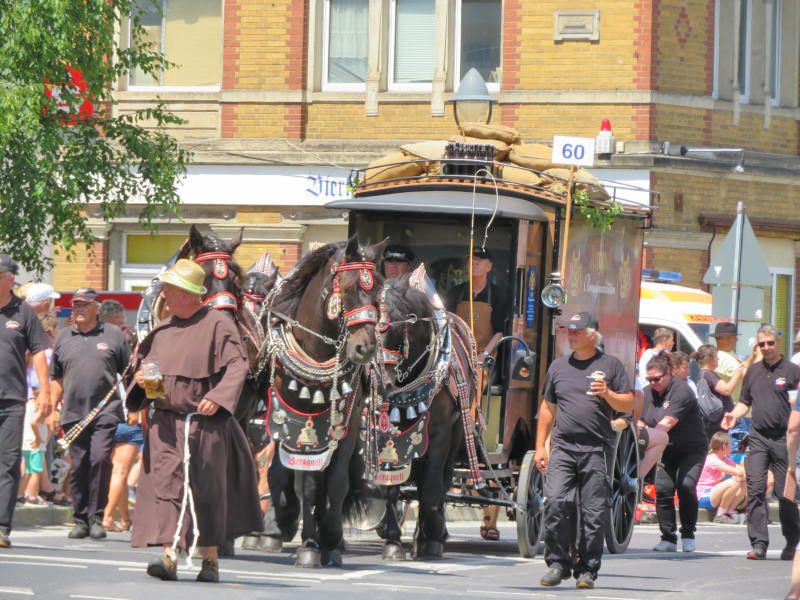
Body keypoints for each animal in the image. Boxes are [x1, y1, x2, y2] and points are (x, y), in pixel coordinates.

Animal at [260, 236, 388, 568]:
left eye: (378, 290)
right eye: (348, 287)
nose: (365, 348)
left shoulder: (348, 426)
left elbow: (337, 482)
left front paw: (330, 542)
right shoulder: (295, 424)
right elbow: (306, 485)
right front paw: (309, 545)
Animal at [376, 264, 482, 560]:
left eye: (397, 325)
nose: (382, 382)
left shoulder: (440, 434)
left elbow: (431, 485)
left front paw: (431, 540)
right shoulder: (387, 431)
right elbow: (390, 486)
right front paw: (392, 541)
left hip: (457, 434)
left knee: (439, 482)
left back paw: (430, 536)